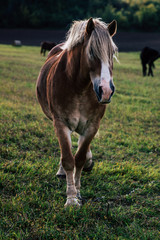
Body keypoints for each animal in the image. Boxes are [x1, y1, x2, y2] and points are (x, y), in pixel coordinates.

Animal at [37, 17, 118, 207]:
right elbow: (68, 159)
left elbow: (79, 158)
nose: (106, 91)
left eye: (112, 53)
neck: (79, 87)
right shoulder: (60, 123)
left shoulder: (92, 126)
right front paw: (72, 198)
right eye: (92, 52)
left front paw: (78, 192)